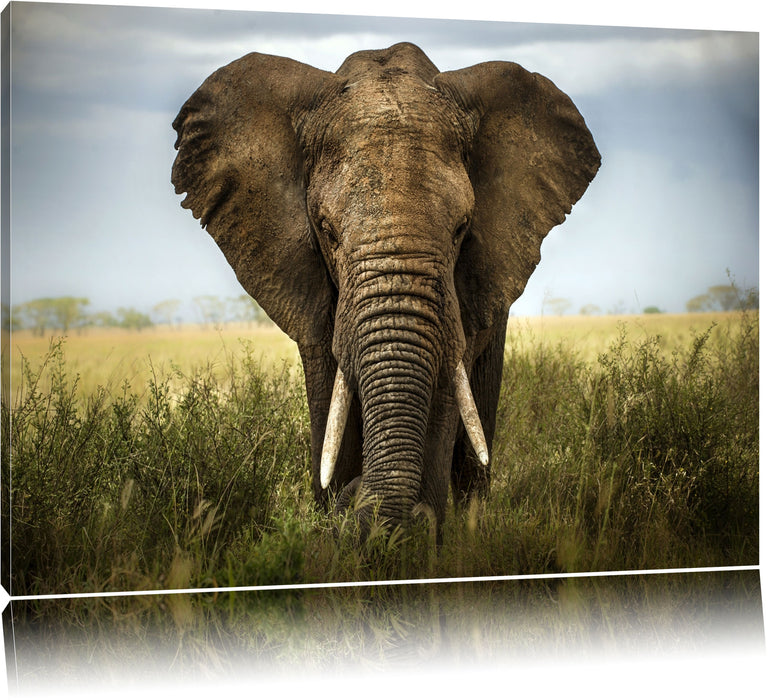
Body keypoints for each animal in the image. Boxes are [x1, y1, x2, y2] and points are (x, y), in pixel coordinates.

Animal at [171, 42, 600, 538]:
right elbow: (329, 395)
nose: (357, 499)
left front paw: (416, 534)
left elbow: (444, 391)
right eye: (327, 231)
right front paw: (338, 516)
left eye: (461, 229)